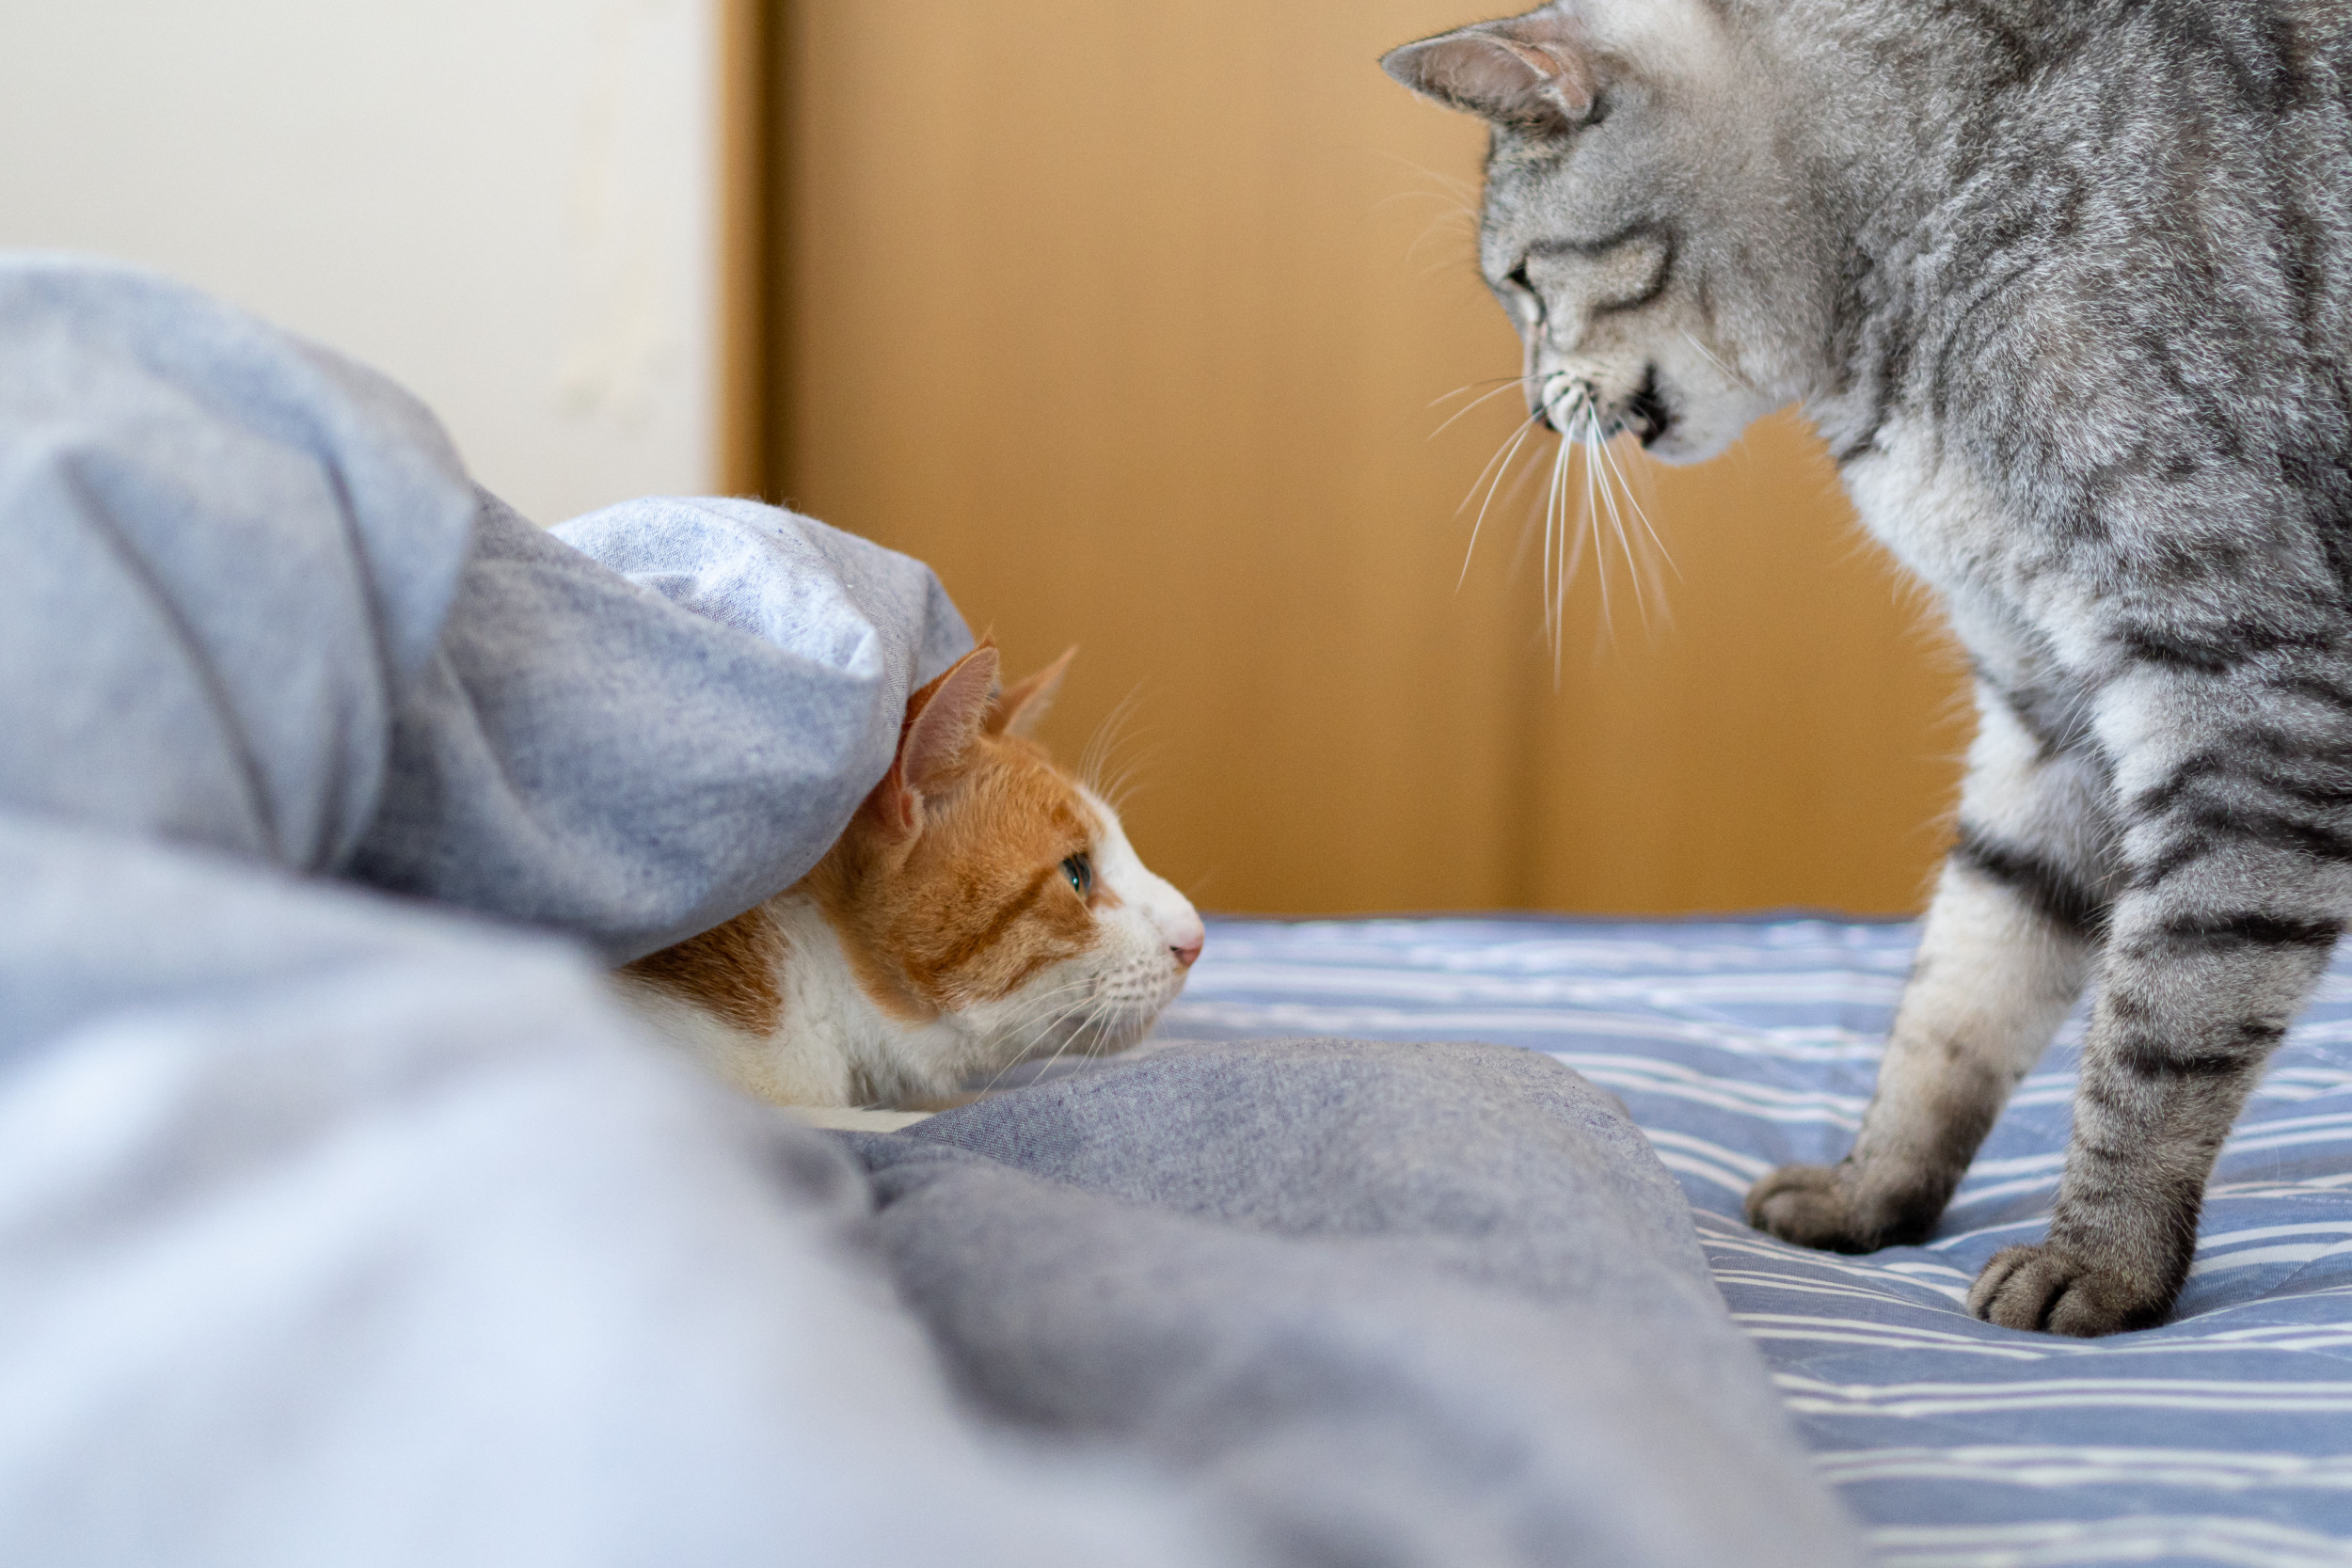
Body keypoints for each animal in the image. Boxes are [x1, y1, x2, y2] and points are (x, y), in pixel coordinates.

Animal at [1374, 0, 2352, 1335]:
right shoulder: (2052, 713)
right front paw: (1871, 1188)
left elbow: (2161, 1020)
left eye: (1520, 282)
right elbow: (1958, 994)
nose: (1532, 410)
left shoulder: (2239, 692)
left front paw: (2099, 1258)